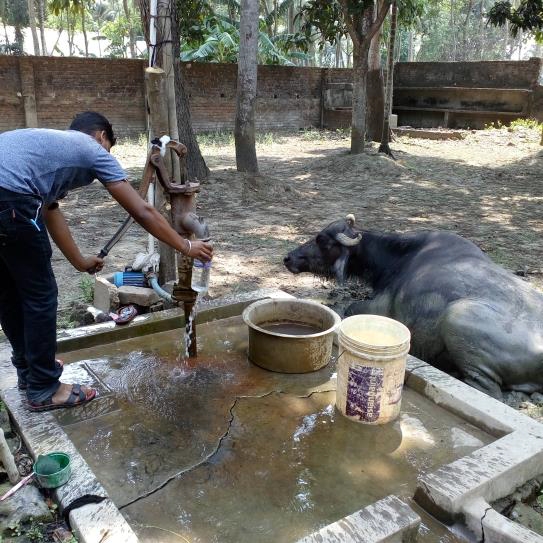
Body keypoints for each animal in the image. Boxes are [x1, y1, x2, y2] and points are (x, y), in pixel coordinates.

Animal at [284, 216, 543, 400]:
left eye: (322, 241)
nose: (288, 258)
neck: (399, 259)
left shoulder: (377, 307)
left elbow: (346, 308)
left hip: (457, 318)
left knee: (489, 389)